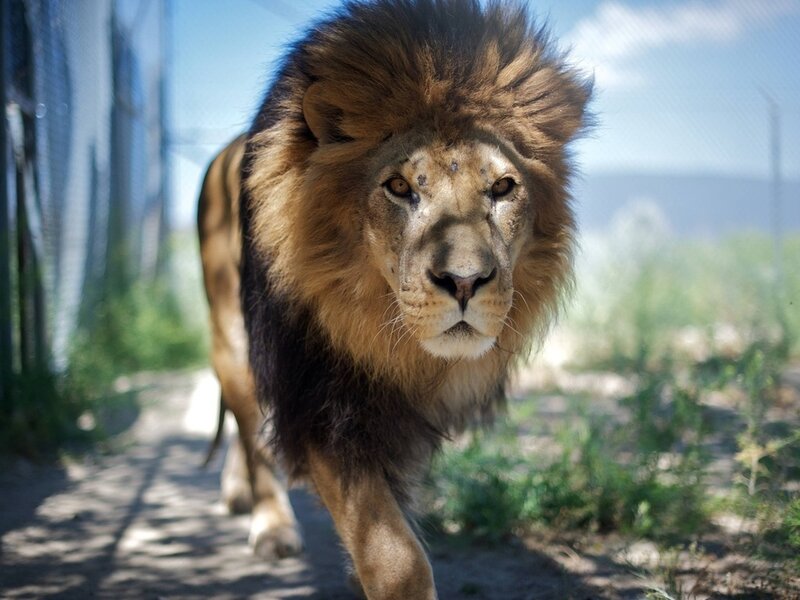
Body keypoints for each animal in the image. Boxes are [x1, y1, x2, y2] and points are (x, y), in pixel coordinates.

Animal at [198, 0, 591, 597]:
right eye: (400, 187)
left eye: (502, 188)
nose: (465, 282)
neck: (391, 341)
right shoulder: (321, 399)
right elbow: (395, 556)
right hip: (231, 332)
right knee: (248, 425)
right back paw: (270, 525)